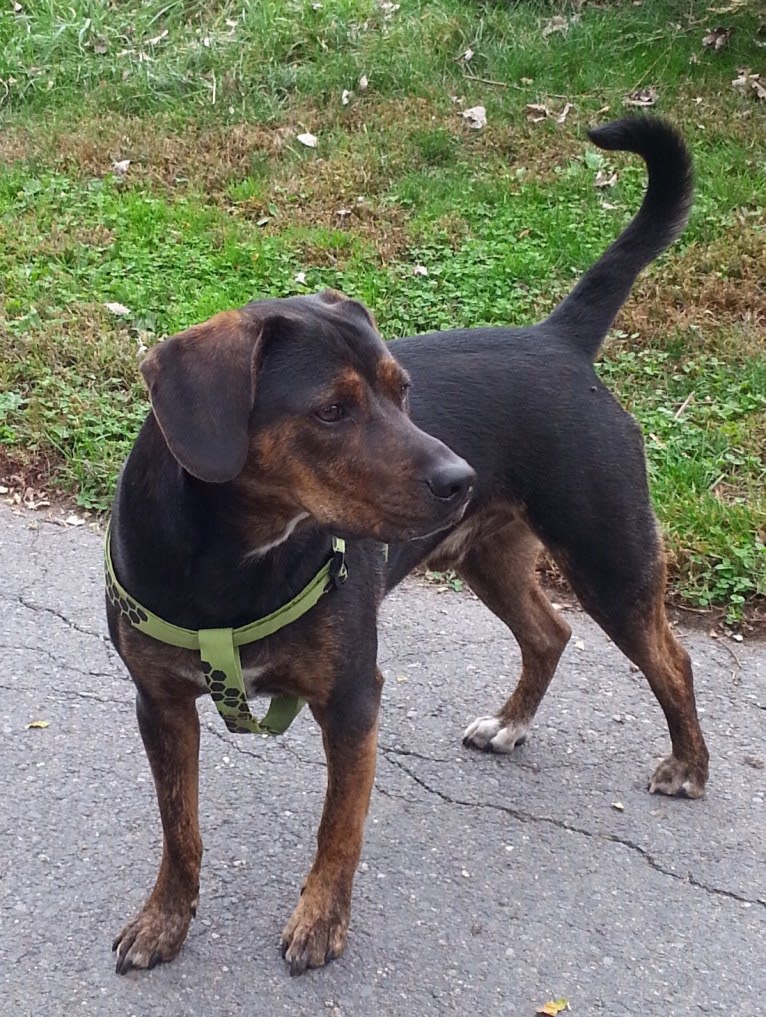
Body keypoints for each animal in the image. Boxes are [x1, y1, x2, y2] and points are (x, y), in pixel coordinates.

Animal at [106, 116, 703, 976]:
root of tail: (560, 340)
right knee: (549, 633)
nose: (461, 476)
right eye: (332, 410)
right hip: (491, 556)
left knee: (672, 660)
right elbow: (179, 829)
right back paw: (511, 722)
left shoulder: (354, 698)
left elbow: (338, 828)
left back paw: (688, 765)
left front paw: (320, 920)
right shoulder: (160, 704)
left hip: (609, 556)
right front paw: (165, 917)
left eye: (403, 389)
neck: (232, 554)